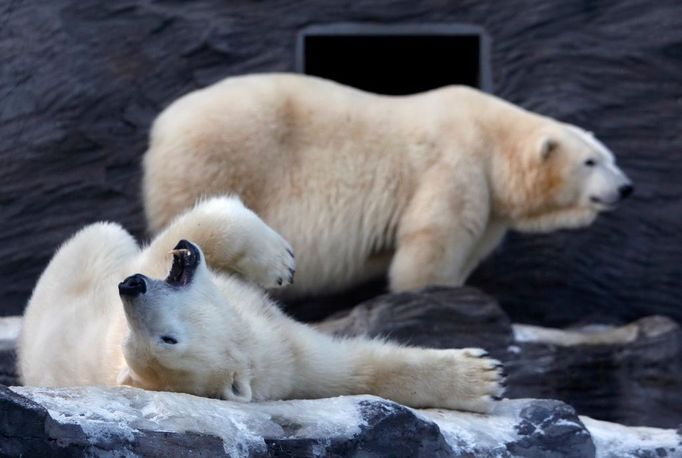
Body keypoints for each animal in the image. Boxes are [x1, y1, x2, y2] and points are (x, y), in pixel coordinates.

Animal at [17, 197, 504, 412]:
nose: (131, 288)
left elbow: (357, 368)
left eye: (133, 338)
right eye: (163, 340)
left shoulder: (287, 356)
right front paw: (486, 377)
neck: (245, 332)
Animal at [142, 73, 632, 298]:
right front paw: (430, 293)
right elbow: (434, 237)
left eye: (610, 156)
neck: (492, 139)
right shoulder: (455, 164)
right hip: (222, 156)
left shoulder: (489, 202)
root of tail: (163, 126)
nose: (626, 188)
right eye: (590, 161)